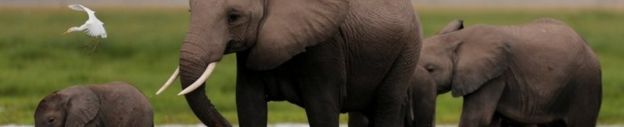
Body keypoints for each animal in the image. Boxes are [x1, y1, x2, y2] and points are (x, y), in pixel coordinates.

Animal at [156, 0, 424, 126]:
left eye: (234, 17)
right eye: (190, 12)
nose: (226, 125)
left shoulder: (325, 46)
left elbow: (322, 108)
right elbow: (249, 103)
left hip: (407, 50)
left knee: (387, 105)